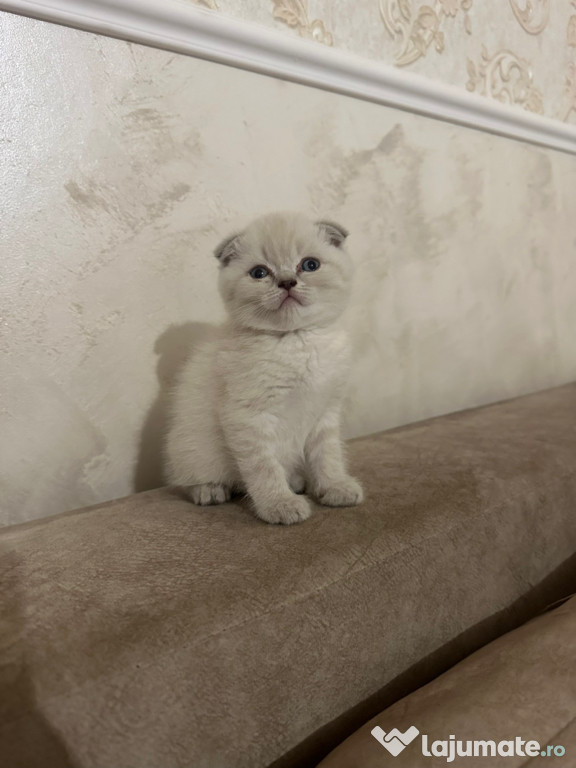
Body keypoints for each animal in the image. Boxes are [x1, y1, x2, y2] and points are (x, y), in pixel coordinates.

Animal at [165, 210, 364, 524]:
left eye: (310, 265)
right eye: (260, 273)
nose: (286, 282)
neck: (296, 341)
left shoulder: (326, 412)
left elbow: (328, 456)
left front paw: (335, 488)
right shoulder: (247, 417)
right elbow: (265, 468)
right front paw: (280, 505)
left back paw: (296, 481)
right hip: (194, 446)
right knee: (193, 478)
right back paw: (210, 491)